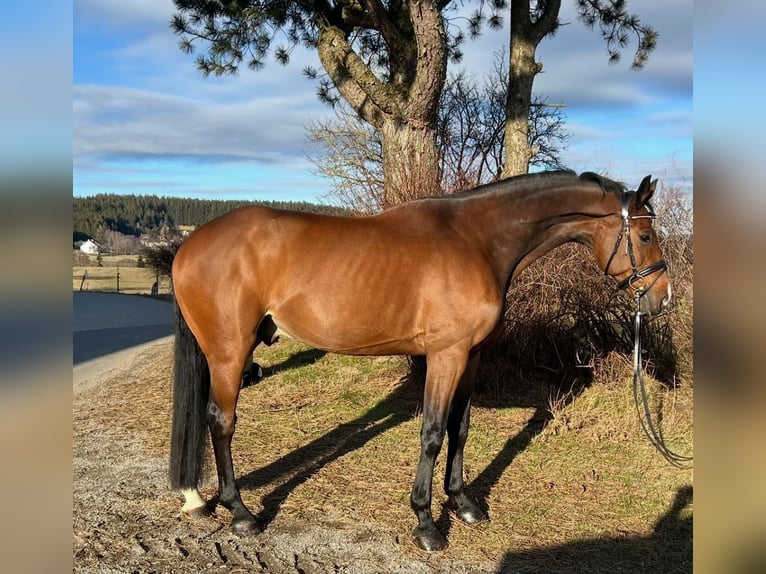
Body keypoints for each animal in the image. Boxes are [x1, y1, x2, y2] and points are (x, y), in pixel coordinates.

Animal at [170, 170, 672, 552]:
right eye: (645, 234)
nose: (662, 300)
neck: (477, 241)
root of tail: (189, 246)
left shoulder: (470, 356)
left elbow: (459, 428)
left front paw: (464, 503)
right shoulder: (445, 356)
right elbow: (431, 434)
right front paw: (426, 523)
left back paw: (201, 500)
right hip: (230, 354)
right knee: (221, 421)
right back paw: (240, 513)